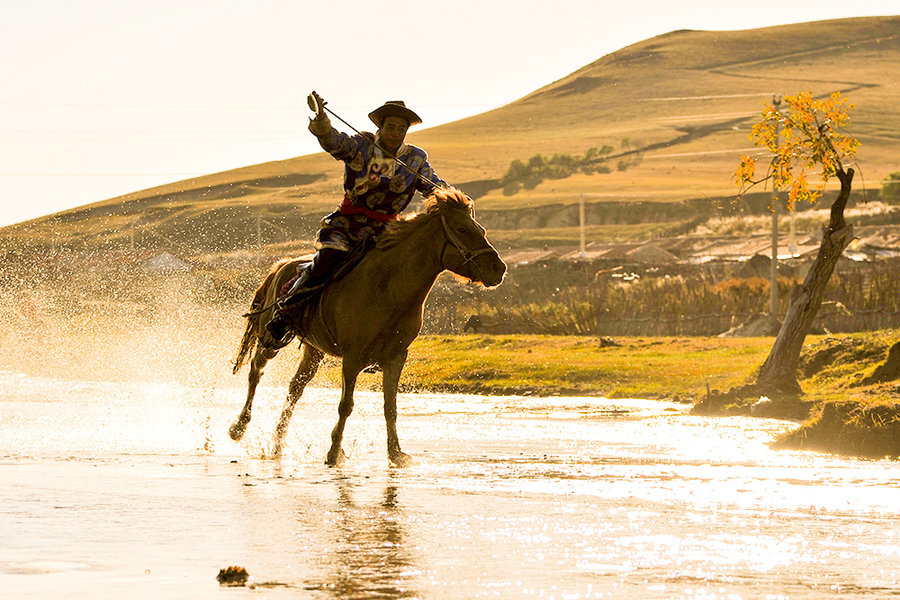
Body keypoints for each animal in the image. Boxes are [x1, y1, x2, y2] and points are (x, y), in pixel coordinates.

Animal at [229, 190, 506, 466]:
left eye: (480, 229)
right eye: (462, 229)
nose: (499, 269)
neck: (388, 287)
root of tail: (283, 265)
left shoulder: (395, 358)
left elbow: (390, 407)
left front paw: (395, 453)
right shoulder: (352, 358)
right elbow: (346, 405)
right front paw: (334, 451)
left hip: (314, 350)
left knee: (295, 388)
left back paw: (277, 444)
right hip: (271, 337)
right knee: (256, 370)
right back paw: (238, 427)